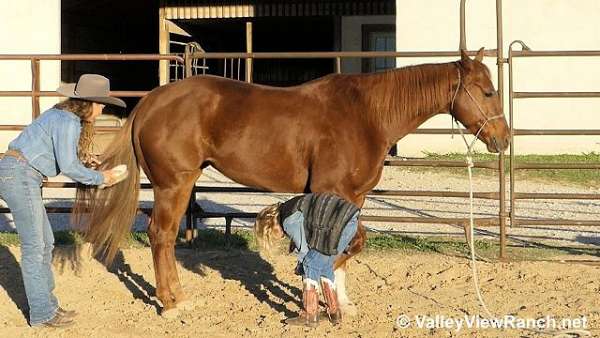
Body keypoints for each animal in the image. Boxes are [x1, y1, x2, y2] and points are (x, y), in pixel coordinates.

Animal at [72, 48, 508, 316]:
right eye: (487, 91)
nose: (503, 139)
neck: (366, 115)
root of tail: (151, 101)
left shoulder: (355, 197)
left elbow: (349, 244)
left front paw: (341, 302)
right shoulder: (333, 191)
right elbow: (341, 246)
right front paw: (318, 296)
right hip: (173, 184)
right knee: (162, 236)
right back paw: (172, 303)